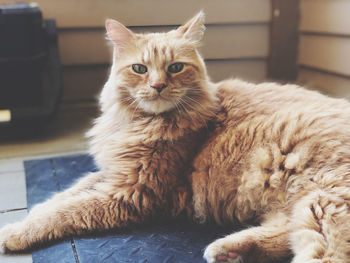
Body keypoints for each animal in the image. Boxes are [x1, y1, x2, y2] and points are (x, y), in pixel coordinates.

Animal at [0, 12, 350, 263]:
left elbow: (65, 212)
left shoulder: (132, 193)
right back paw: (230, 250)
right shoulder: (113, 174)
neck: (139, 123)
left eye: (176, 68)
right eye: (139, 69)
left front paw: (14, 232)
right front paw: (36, 209)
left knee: (325, 254)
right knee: (286, 232)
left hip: (324, 200)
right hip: (297, 204)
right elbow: (66, 194)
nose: (157, 86)